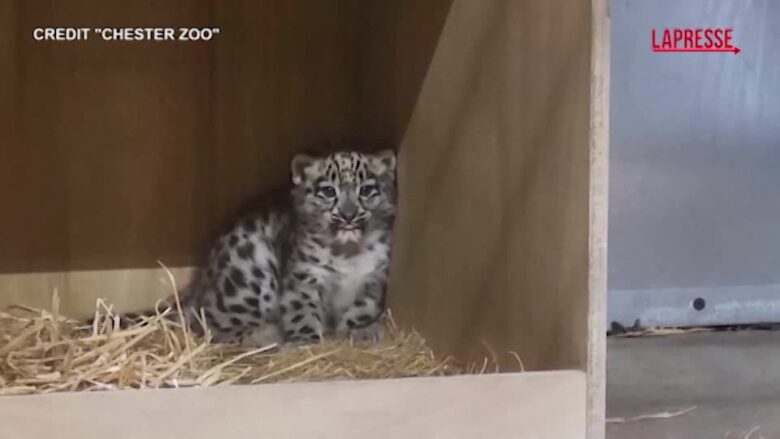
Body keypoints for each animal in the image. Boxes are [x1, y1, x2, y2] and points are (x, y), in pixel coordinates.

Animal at [96, 149, 397, 347]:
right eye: (328, 191)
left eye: (367, 190)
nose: (348, 215)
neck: (349, 255)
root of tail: (199, 286)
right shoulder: (303, 278)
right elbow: (302, 311)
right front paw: (306, 341)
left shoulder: (375, 278)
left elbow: (361, 309)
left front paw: (359, 331)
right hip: (250, 274)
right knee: (212, 325)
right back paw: (266, 335)